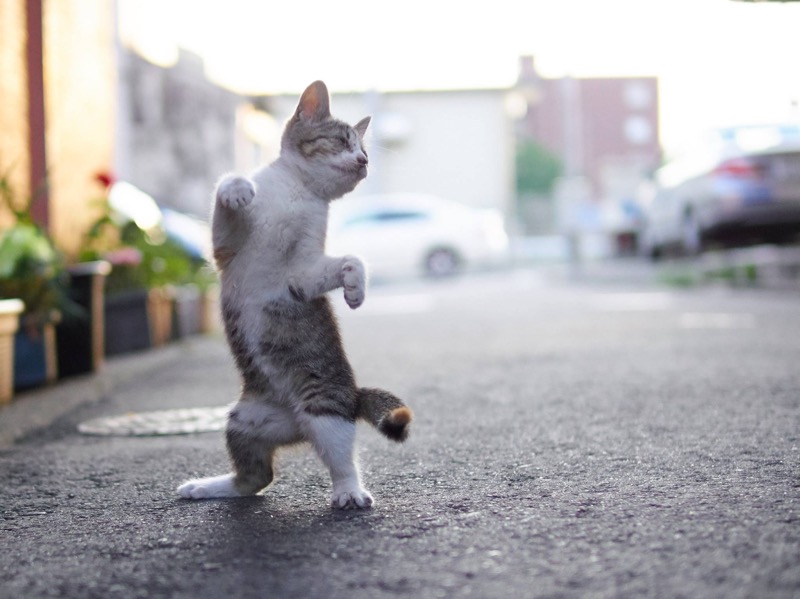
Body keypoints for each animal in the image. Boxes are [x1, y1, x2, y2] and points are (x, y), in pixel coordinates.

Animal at [176, 79, 412, 510]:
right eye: (342, 140)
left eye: (365, 151)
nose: (363, 161)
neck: (297, 193)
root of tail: (295, 424)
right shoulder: (228, 249)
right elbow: (226, 196)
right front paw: (237, 188)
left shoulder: (302, 271)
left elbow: (349, 260)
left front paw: (355, 287)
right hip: (244, 421)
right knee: (255, 477)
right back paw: (206, 486)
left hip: (324, 406)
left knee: (337, 457)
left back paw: (349, 491)